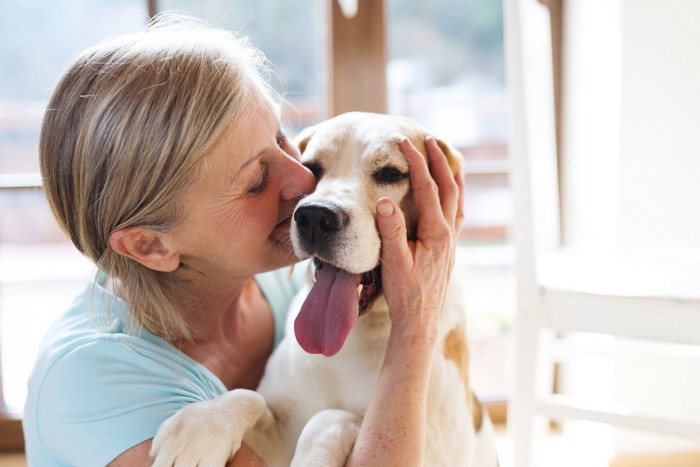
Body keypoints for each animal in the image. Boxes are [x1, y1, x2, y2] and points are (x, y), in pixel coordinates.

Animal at [150, 111, 500, 466]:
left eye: (391, 173)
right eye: (312, 168)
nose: (316, 217)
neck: (351, 340)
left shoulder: (438, 442)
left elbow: (332, 417)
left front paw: (314, 456)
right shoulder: (279, 435)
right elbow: (250, 397)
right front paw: (203, 425)